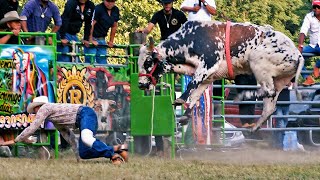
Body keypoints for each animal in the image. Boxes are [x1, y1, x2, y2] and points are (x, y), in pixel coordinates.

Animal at [137, 21, 302, 131]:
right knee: (270, 104)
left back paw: (243, 96)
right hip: (279, 80)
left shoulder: (208, 64)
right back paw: (254, 127)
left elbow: (192, 85)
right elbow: (195, 94)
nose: (141, 84)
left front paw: (180, 99)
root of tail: (298, 54)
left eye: (148, 61)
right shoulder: (206, 76)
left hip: (258, 65)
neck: (190, 40)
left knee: (267, 91)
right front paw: (184, 116)